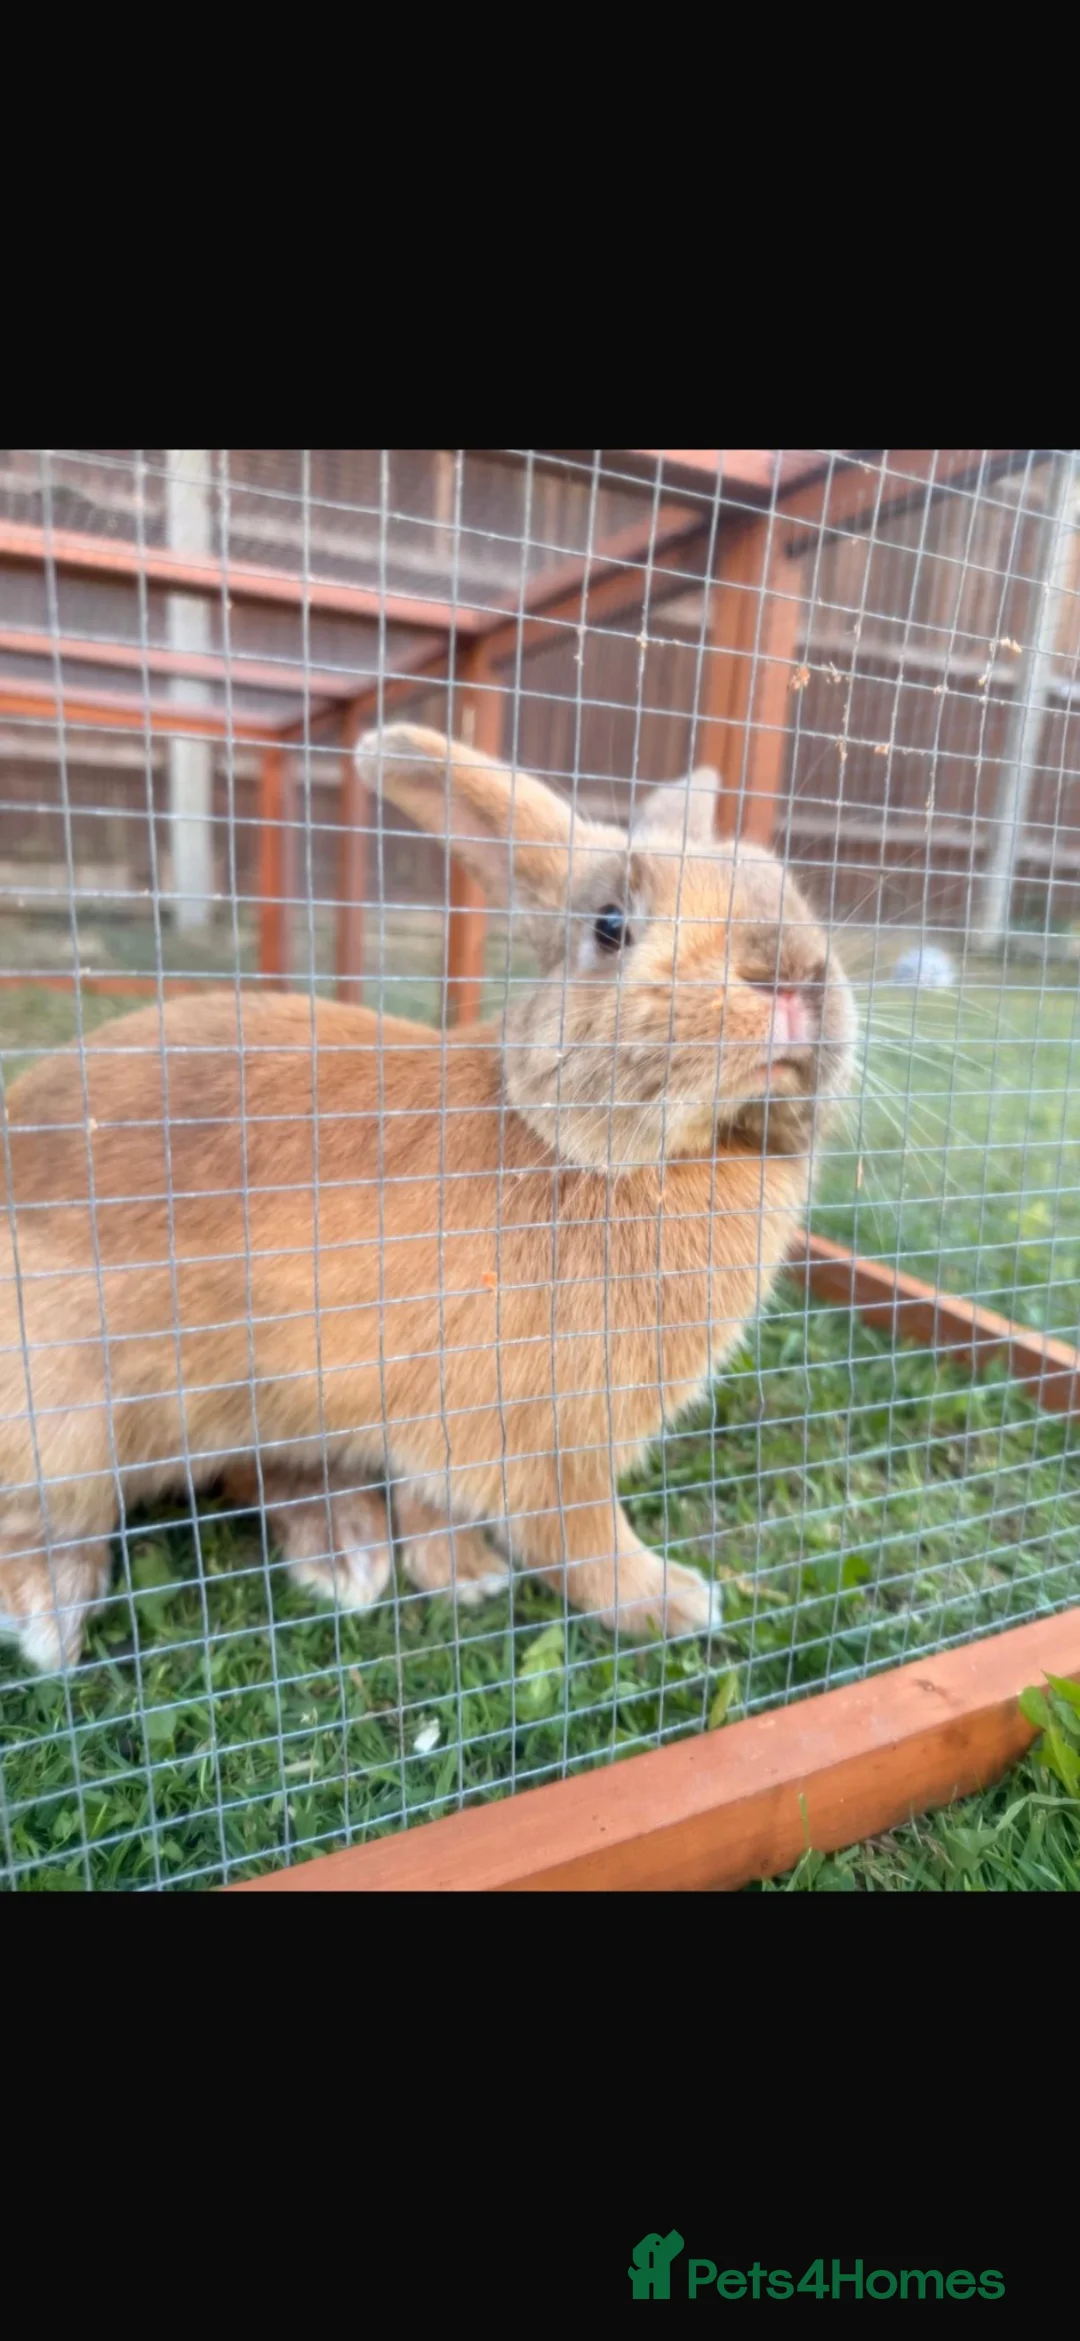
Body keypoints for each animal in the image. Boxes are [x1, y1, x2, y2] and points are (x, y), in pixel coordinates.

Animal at [0, 722, 857, 1674]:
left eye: (786, 885)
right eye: (611, 925)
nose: (793, 973)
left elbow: (435, 1502)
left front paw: (460, 1573)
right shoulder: (536, 1433)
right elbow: (578, 1534)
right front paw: (668, 1600)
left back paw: (344, 1548)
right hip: (68, 1417)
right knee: (49, 1514)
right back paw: (50, 1609)